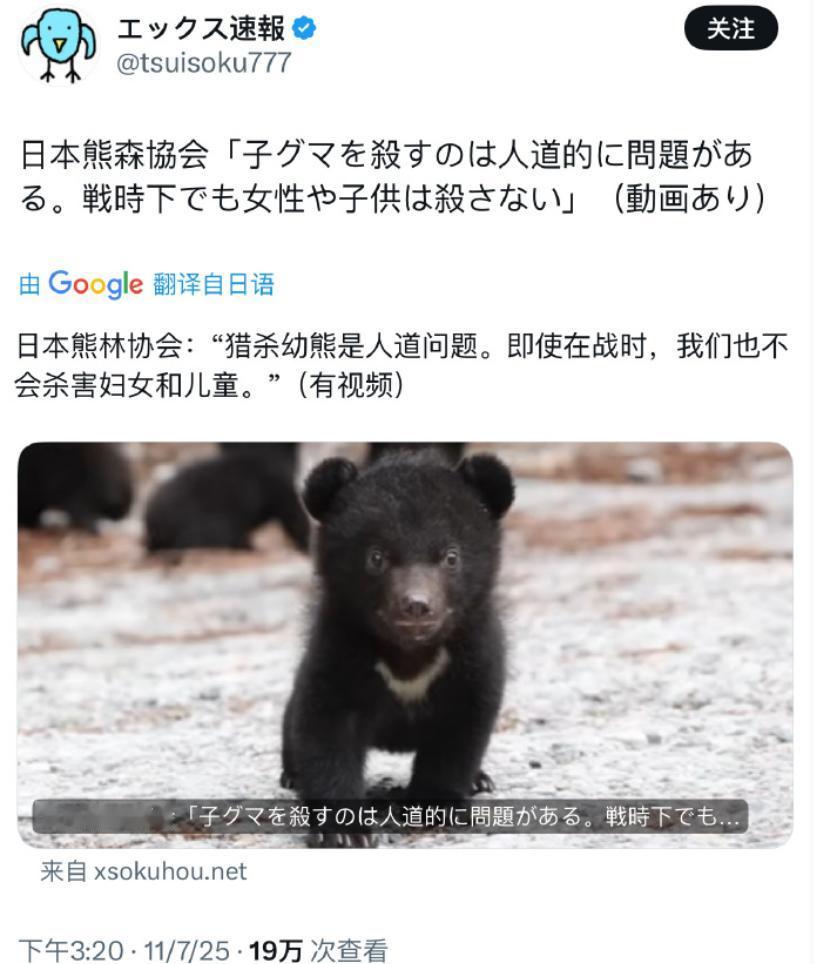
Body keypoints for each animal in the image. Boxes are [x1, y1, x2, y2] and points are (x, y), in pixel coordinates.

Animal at [281, 449, 514, 847]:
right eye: (377, 557)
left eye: (451, 556)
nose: (417, 605)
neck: (409, 652)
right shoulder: (339, 647)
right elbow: (326, 730)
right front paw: (344, 833)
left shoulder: (475, 654)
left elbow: (460, 731)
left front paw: (434, 807)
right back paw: (291, 776)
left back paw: (480, 780)